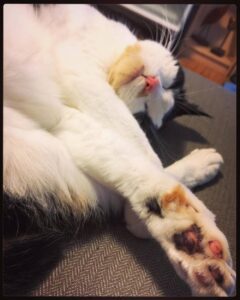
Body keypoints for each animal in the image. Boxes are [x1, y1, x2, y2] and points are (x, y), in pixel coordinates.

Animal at [3, 3, 235, 296]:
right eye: (169, 85)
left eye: (145, 115)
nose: (152, 83)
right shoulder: (79, 73)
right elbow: (143, 149)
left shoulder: (67, 123)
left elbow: (131, 159)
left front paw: (199, 169)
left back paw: (192, 242)